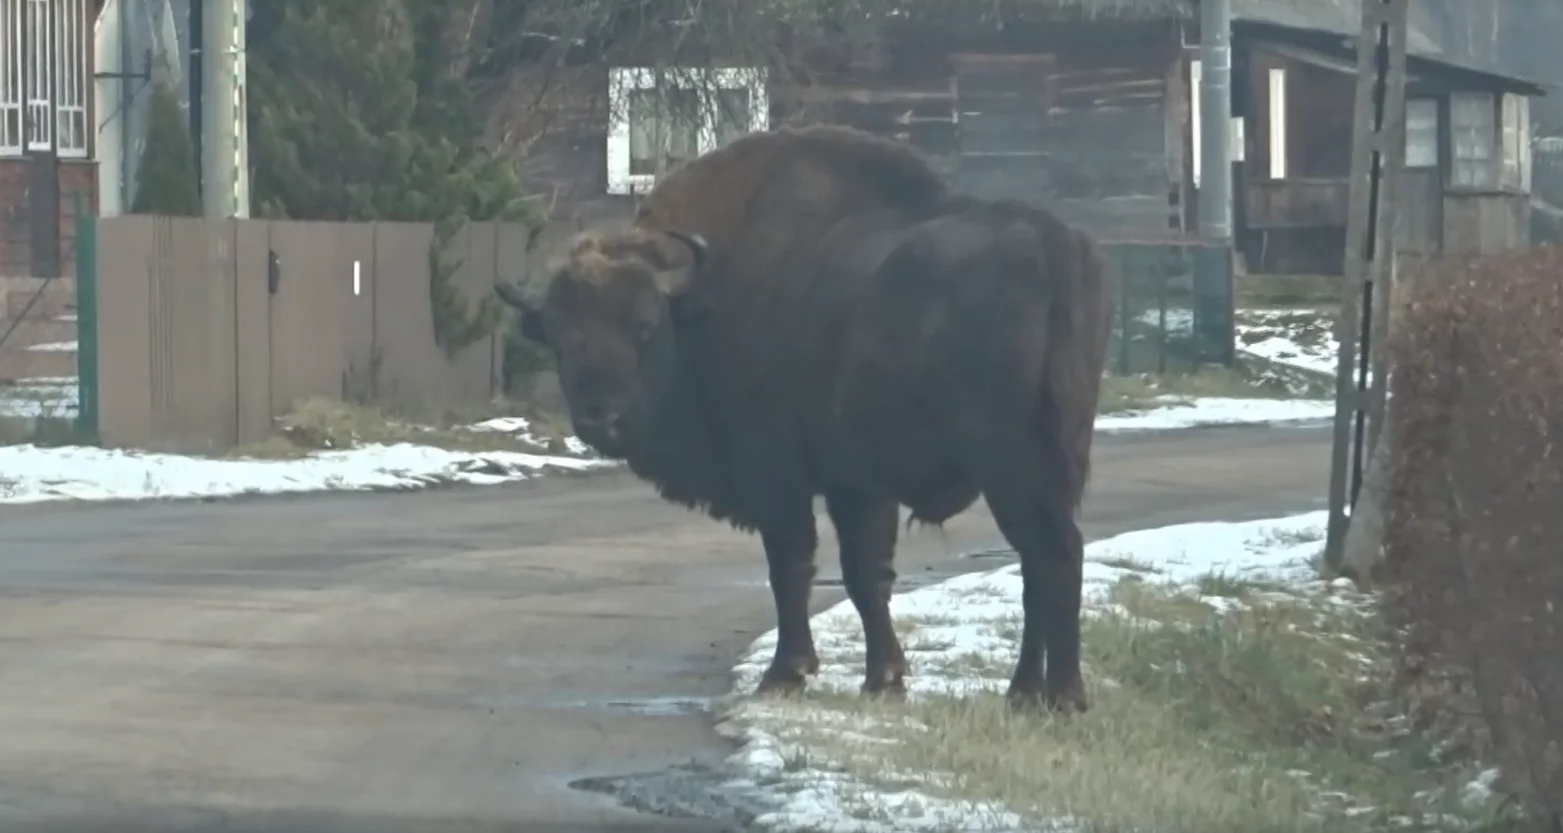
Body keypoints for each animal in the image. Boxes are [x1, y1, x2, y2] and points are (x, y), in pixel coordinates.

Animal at [493, 126, 1119, 712]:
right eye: (560, 336)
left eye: (645, 326)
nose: (603, 421)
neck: (704, 298)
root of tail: (1054, 244)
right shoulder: (856, 485)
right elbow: (866, 574)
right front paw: (883, 679)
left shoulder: (778, 477)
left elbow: (791, 566)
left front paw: (785, 674)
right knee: (1039, 561)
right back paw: (1024, 693)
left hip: (1013, 466)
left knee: (1052, 552)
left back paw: (1059, 695)